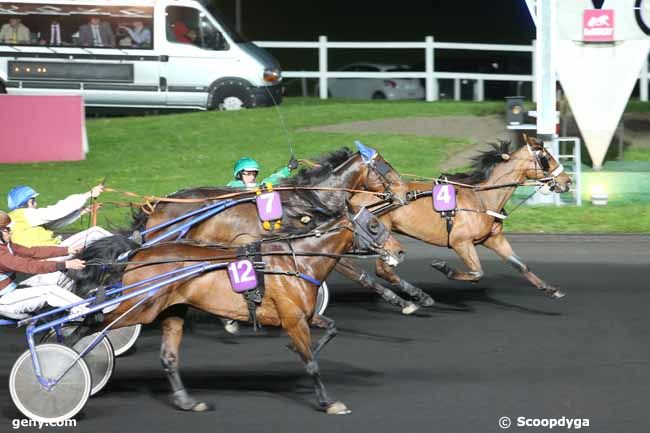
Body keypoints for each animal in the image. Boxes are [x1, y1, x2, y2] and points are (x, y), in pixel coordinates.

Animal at [66, 197, 400, 416]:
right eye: (373, 224)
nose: (399, 250)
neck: (295, 261)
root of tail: (140, 252)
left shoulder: (303, 315)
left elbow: (331, 328)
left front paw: (299, 351)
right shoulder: (293, 319)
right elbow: (311, 364)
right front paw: (328, 402)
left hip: (171, 310)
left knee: (169, 358)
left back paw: (188, 402)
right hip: (140, 306)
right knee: (92, 323)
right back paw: (66, 355)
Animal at [346, 133, 568, 298]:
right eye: (546, 158)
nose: (567, 181)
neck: (481, 198)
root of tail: (357, 192)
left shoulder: (493, 238)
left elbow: (520, 264)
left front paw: (550, 289)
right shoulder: (461, 242)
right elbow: (477, 272)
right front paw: (444, 267)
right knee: (383, 269)